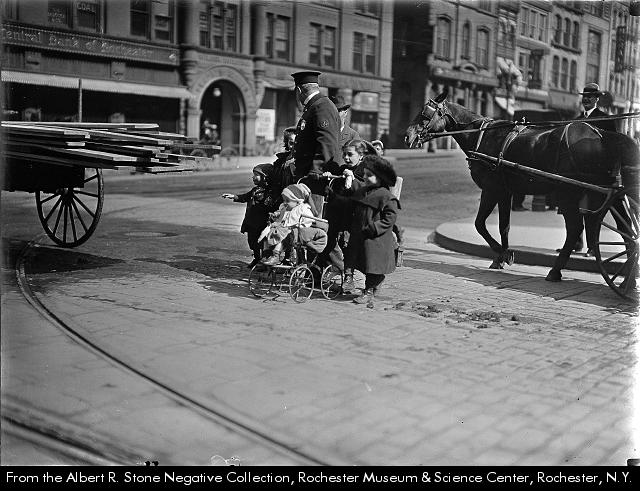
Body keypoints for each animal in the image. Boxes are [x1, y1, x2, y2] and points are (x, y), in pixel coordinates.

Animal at [405, 91, 639, 287]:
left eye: (425, 115)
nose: (407, 136)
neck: (482, 134)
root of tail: (602, 135)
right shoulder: (505, 191)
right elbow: (504, 226)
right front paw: (502, 256)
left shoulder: (492, 189)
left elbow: (480, 224)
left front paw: (503, 255)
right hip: (610, 194)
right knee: (624, 227)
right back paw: (628, 276)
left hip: (568, 193)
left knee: (575, 229)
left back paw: (556, 271)